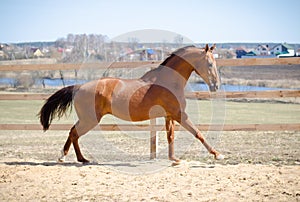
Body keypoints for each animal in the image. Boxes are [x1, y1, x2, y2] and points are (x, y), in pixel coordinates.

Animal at [38, 44, 224, 164]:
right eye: (209, 64)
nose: (215, 86)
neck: (168, 81)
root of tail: (78, 87)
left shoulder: (169, 116)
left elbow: (170, 136)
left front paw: (174, 159)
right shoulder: (179, 114)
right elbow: (198, 133)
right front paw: (217, 154)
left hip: (87, 119)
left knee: (73, 133)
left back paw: (79, 159)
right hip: (89, 120)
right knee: (74, 133)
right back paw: (69, 158)